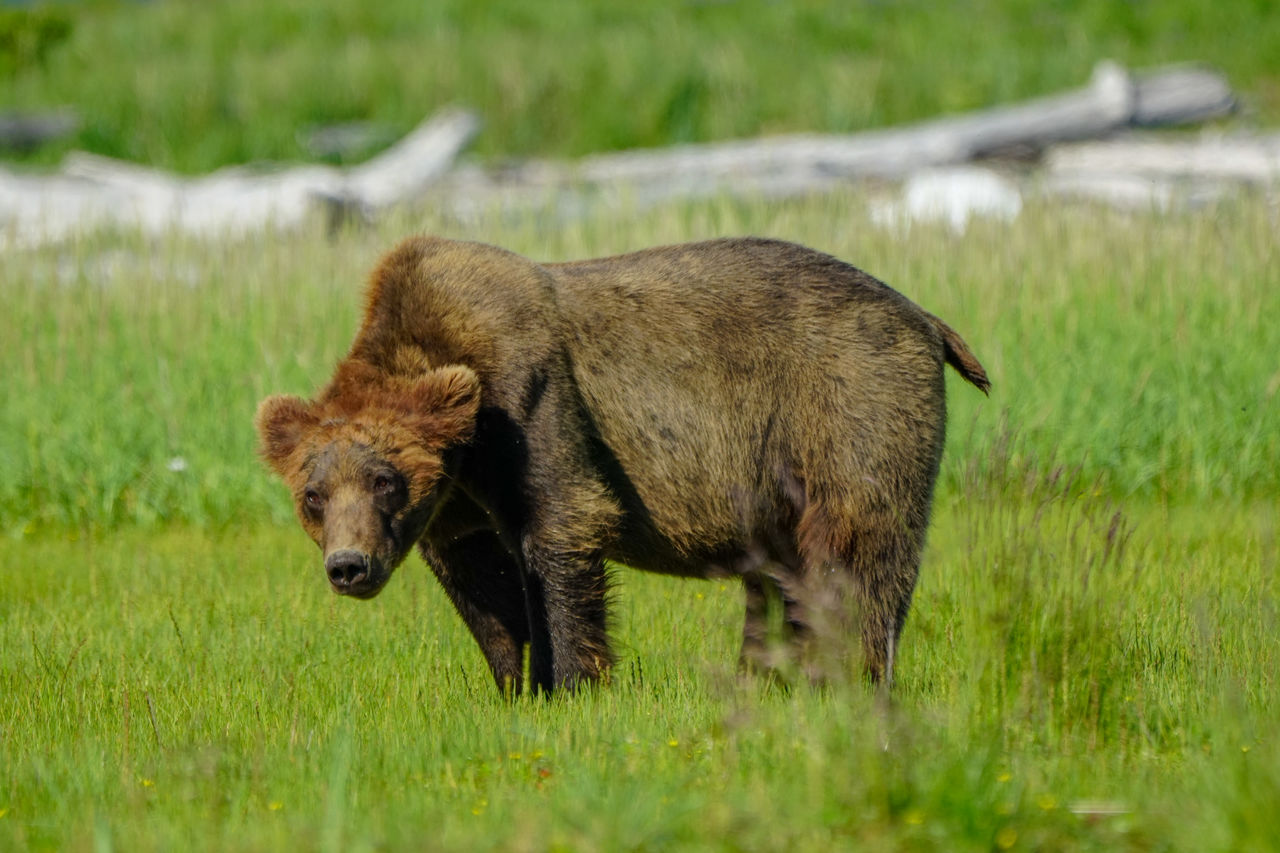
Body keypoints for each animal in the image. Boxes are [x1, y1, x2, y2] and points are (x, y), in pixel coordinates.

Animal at [252, 233, 988, 691]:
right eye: (313, 495)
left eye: (384, 480)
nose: (349, 565)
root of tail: (922, 315)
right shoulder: (456, 502)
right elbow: (481, 583)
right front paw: (514, 681)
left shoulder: (532, 402)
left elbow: (561, 528)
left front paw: (574, 680)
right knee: (781, 572)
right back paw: (767, 674)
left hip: (843, 399)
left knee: (857, 545)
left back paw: (854, 672)